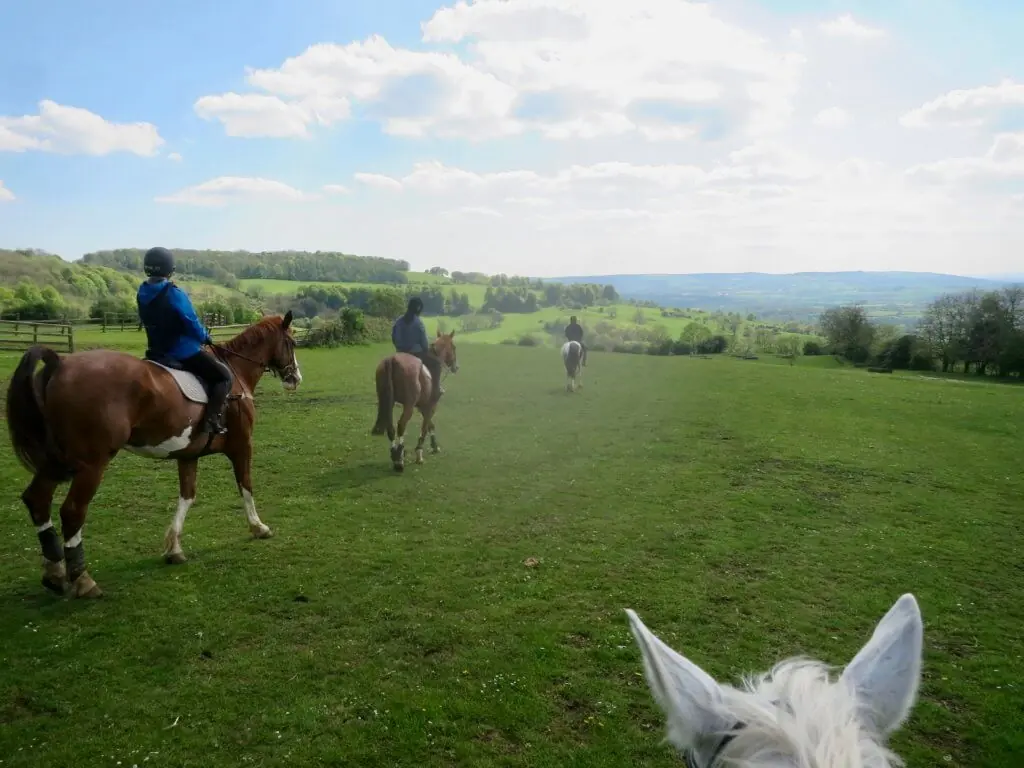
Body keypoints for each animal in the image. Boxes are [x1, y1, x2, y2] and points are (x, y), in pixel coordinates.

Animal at [5, 312, 302, 598]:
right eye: (292, 342)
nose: (295, 378)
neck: (236, 372)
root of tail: (60, 364)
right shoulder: (242, 446)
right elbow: (246, 485)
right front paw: (258, 527)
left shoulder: (188, 455)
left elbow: (187, 496)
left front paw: (174, 548)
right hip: (91, 465)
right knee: (72, 512)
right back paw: (83, 580)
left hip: (55, 461)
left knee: (38, 500)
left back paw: (54, 574)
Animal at [372, 330, 458, 472]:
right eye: (454, 347)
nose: (456, 367)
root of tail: (392, 360)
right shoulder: (430, 406)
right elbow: (425, 427)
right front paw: (419, 454)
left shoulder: (422, 406)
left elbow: (430, 425)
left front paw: (434, 446)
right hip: (409, 405)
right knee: (401, 425)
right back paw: (399, 460)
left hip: (387, 401)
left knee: (391, 427)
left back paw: (395, 455)